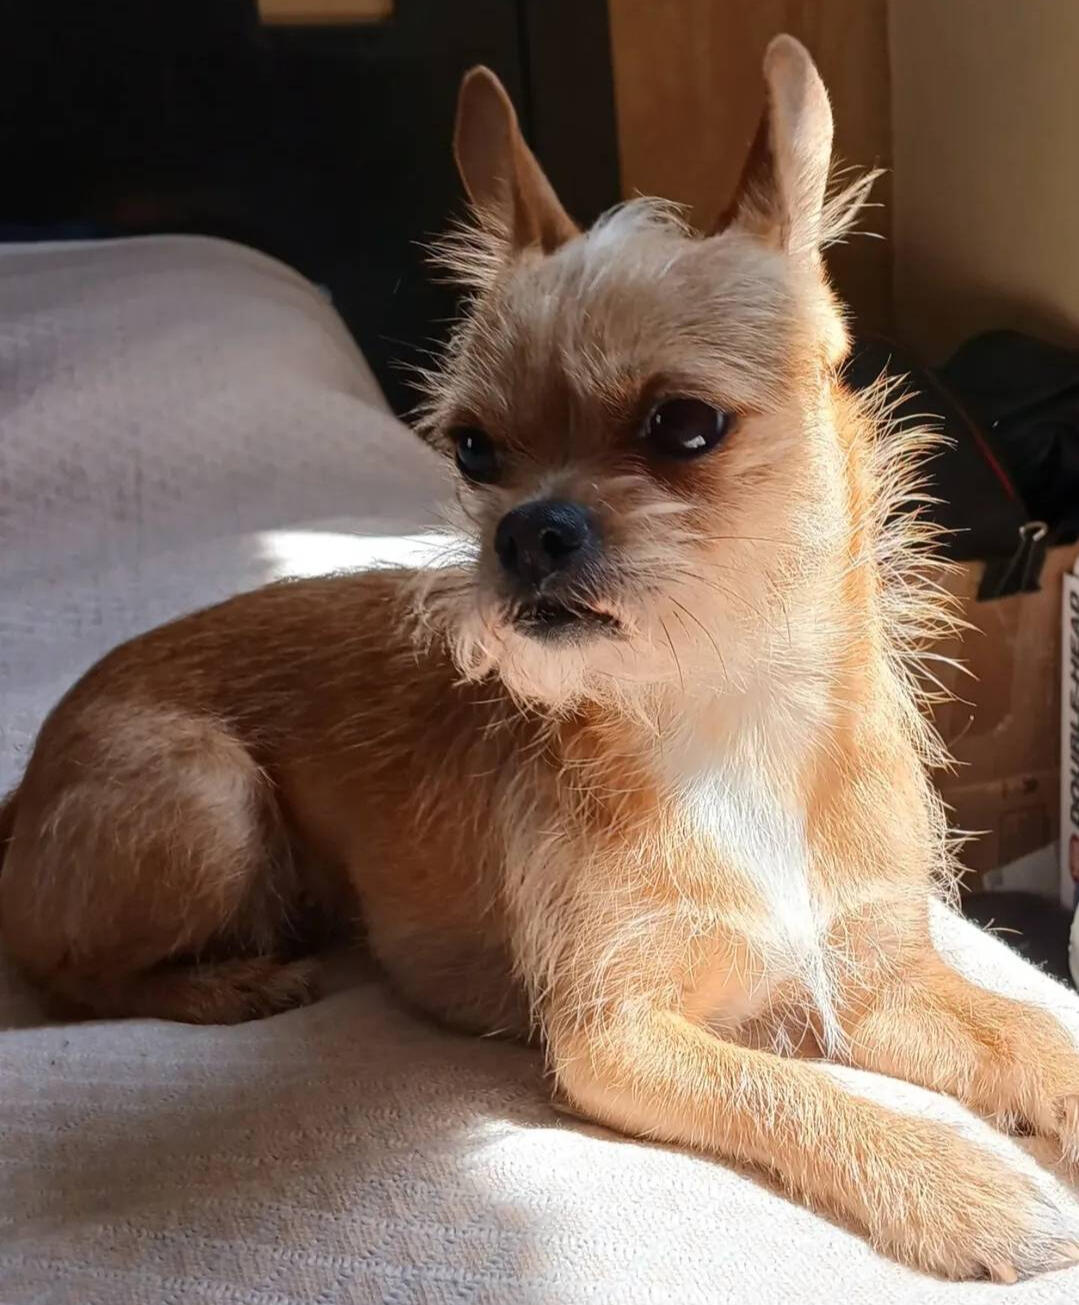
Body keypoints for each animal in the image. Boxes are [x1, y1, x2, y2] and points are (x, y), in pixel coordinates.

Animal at [2, 35, 1079, 1282]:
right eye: (473, 450)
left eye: (683, 426)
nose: (525, 530)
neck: (728, 721)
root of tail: (28, 781)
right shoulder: (615, 1039)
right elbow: (795, 1095)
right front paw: (965, 1189)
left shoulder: (875, 987)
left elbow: (1031, 1029)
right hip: (207, 790)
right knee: (66, 975)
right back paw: (235, 979)